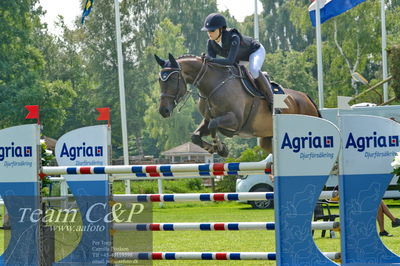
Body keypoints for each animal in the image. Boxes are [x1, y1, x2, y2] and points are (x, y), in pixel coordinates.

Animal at [155, 53, 320, 157]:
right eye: (159, 80)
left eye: (173, 79)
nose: (163, 110)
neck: (213, 86)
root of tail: (307, 98)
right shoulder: (207, 119)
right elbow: (196, 135)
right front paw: (217, 148)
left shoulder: (235, 120)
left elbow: (214, 126)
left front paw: (220, 147)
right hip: (267, 139)